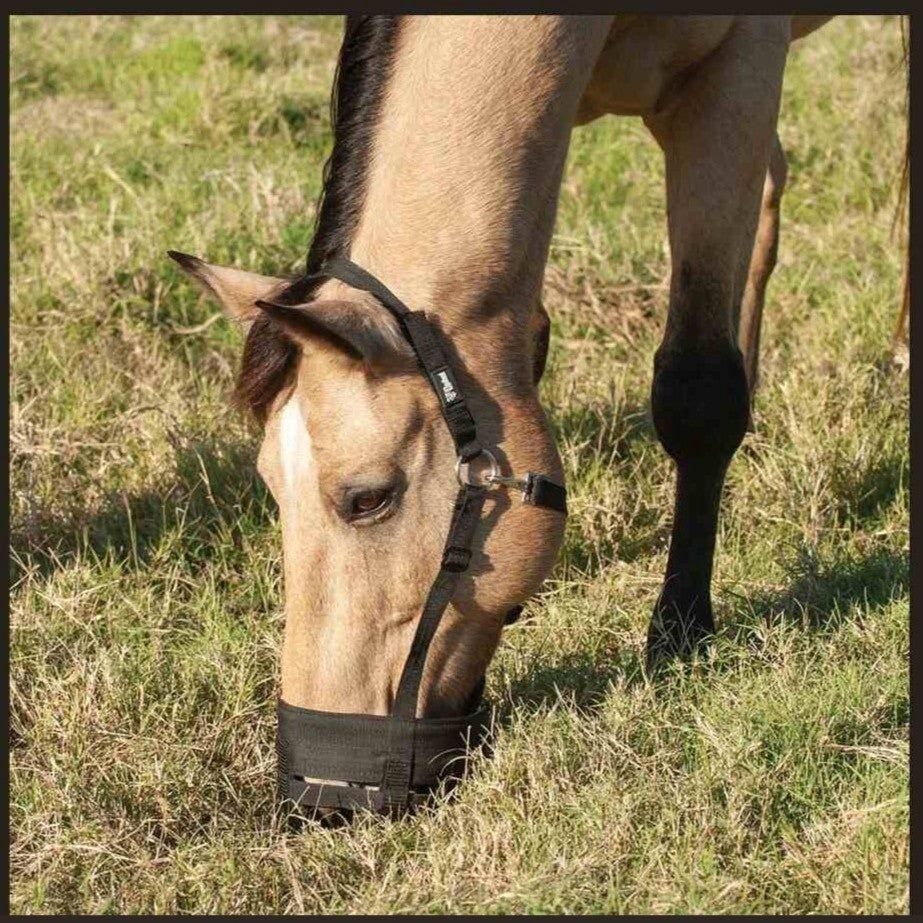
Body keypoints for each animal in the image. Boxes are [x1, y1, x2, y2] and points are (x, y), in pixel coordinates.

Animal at [169, 16, 906, 801]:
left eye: (366, 499)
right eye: (270, 488)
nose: (320, 785)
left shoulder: (734, 75)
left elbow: (697, 392)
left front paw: (680, 631)